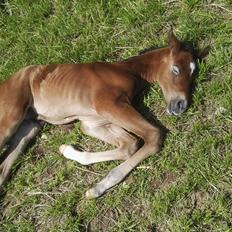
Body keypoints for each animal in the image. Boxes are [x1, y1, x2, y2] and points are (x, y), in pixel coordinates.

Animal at [0, 30, 206, 198]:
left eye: (193, 73)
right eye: (176, 69)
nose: (181, 105)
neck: (126, 70)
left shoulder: (94, 121)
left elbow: (129, 145)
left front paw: (67, 150)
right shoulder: (109, 105)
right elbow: (153, 135)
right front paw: (97, 188)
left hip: (29, 126)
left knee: (4, 167)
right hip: (10, 119)